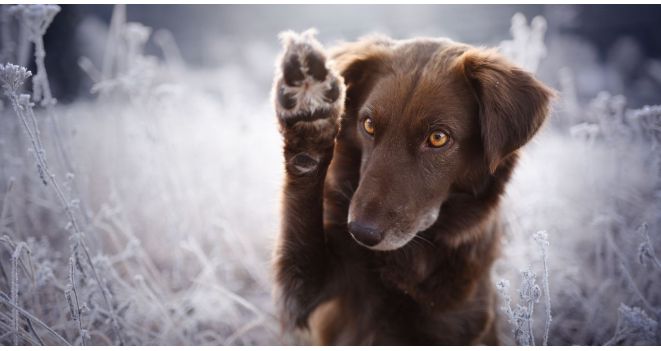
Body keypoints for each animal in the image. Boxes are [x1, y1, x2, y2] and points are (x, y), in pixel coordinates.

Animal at [268, 29, 552, 346]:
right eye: (368, 125)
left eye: (438, 138)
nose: (361, 233)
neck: (411, 257)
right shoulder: (307, 294)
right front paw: (309, 106)